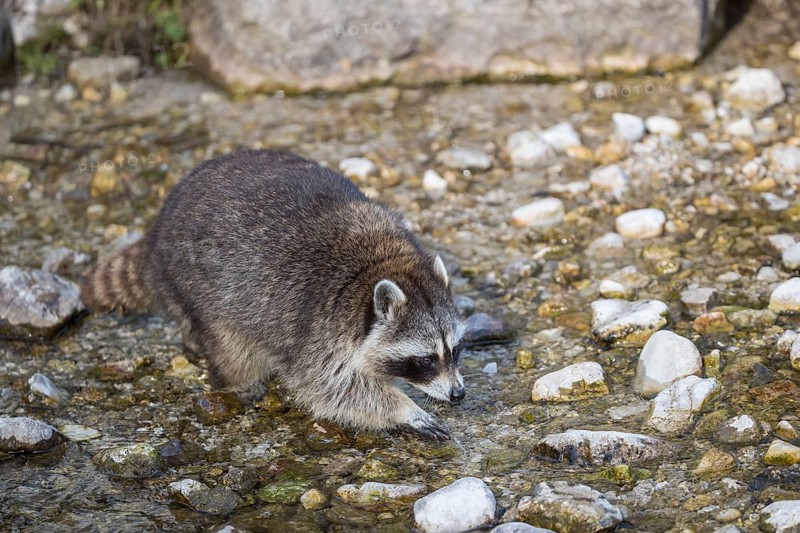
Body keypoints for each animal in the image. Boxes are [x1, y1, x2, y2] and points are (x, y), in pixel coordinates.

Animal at [81, 150, 465, 440]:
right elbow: (331, 389)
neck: (383, 264)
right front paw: (403, 409)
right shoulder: (319, 328)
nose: (458, 394)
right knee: (233, 353)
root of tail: (156, 232)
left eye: (456, 349)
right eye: (425, 359)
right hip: (197, 284)